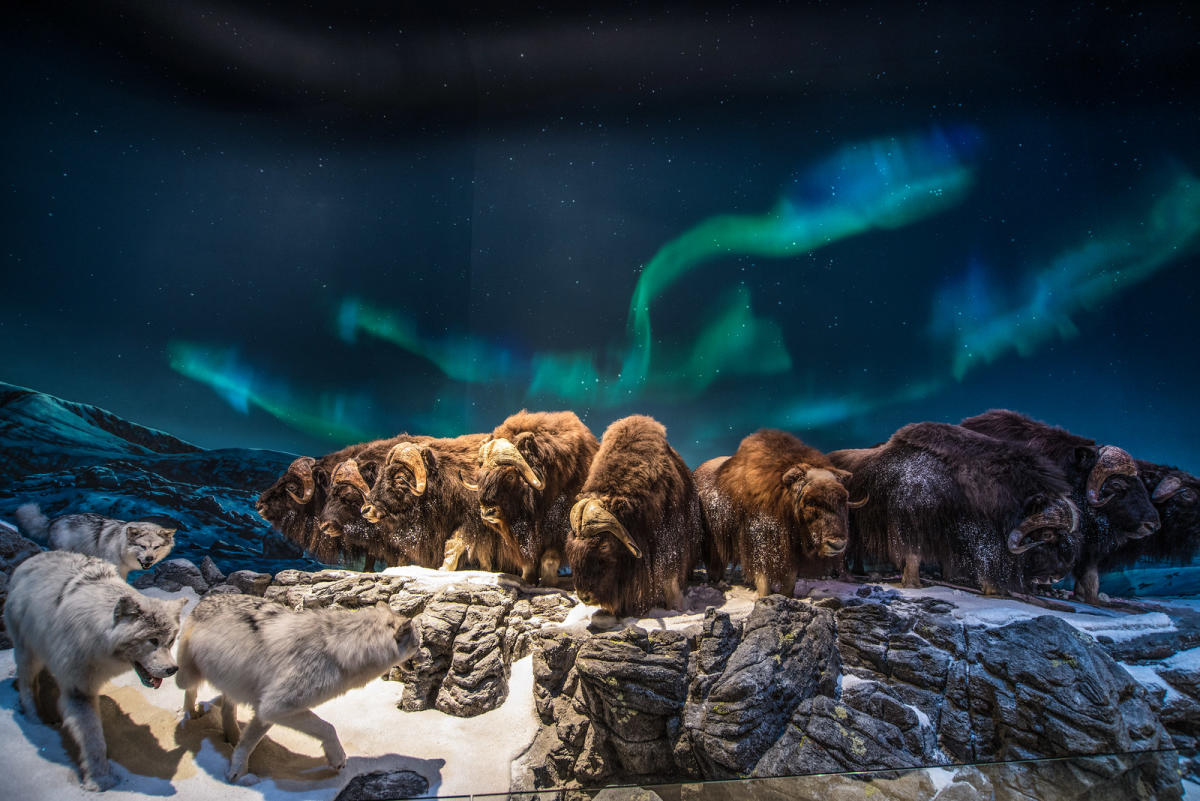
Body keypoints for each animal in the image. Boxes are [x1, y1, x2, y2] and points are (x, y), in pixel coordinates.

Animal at [3, 551, 186, 786]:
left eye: (170, 641)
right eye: (152, 641)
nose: (173, 669)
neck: (96, 638)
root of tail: (29, 561)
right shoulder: (78, 689)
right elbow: (93, 738)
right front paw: (100, 778)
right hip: (27, 654)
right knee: (27, 685)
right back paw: (35, 718)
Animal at [175, 594, 422, 781]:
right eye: (418, 644)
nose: (423, 658)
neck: (340, 650)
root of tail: (208, 597)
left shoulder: (267, 711)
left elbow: (248, 742)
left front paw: (238, 768)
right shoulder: (275, 707)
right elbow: (328, 728)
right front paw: (338, 759)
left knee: (228, 707)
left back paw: (231, 734)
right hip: (185, 676)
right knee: (190, 690)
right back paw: (190, 714)